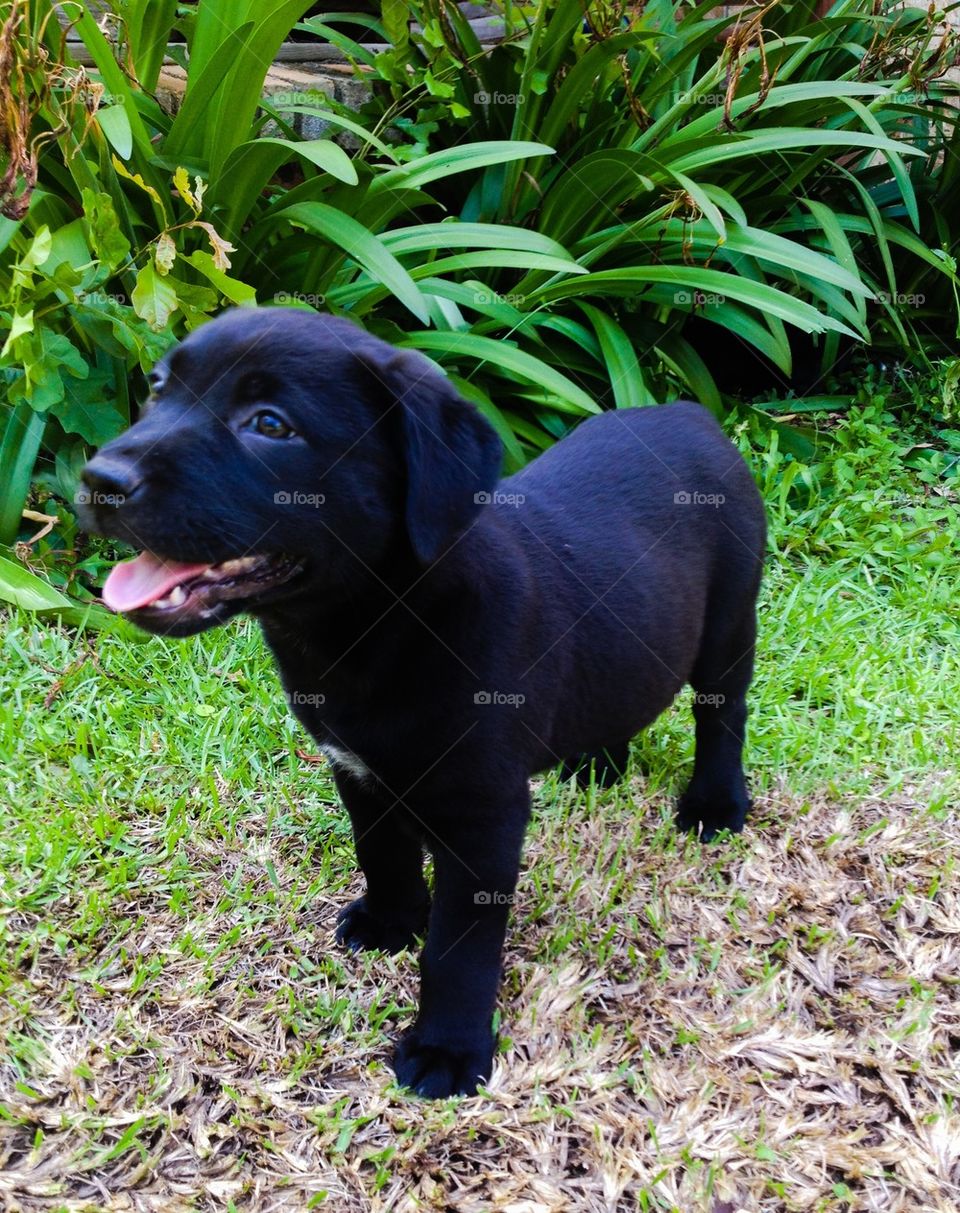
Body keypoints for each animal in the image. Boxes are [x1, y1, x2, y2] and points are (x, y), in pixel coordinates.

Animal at [82, 305, 767, 1101]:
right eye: (158, 390)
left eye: (271, 424)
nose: (100, 479)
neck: (376, 621)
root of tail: (690, 413)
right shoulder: (356, 767)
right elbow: (381, 851)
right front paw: (391, 921)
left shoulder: (484, 814)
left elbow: (459, 948)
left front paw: (447, 1049)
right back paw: (596, 763)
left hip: (729, 621)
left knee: (721, 713)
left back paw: (714, 805)